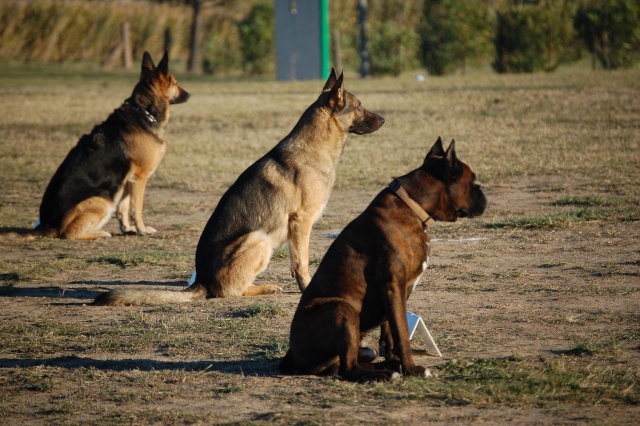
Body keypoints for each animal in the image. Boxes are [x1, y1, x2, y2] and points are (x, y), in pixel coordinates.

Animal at [278, 138, 484, 382]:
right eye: (472, 181)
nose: (482, 191)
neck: (412, 206)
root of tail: (291, 355)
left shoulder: (395, 293)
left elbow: (391, 332)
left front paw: (399, 363)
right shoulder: (393, 286)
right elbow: (401, 333)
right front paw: (411, 369)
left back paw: (387, 368)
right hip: (341, 308)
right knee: (348, 368)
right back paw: (385, 374)